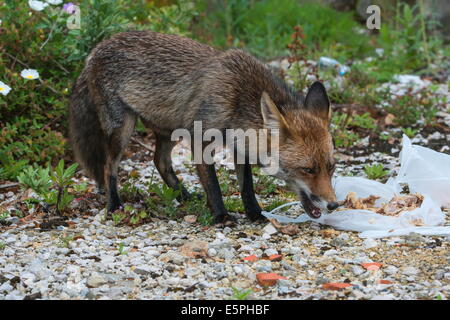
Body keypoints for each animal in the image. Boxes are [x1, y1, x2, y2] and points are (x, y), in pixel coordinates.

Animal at [68, 30, 338, 225]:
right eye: (308, 170)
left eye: (331, 167)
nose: (334, 205)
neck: (238, 96)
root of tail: (97, 48)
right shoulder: (201, 140)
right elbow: (213, 184)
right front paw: (221, 216)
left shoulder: (240, 146)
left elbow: (247, 187)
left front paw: (255, 214)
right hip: (123, 129)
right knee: (109, 168)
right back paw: (114, 205)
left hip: (170, 131)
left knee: (160, 162)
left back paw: (185, 197)